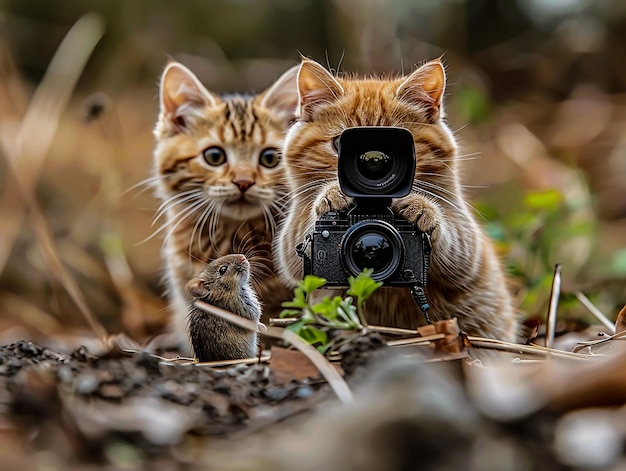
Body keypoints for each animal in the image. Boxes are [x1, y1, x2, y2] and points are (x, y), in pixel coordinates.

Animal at [276, 58, 516, 342]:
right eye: (338, 144)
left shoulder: (468, 247)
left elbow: (456, 244)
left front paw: (422, 210)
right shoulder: (293, 247)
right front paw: (332, 196)